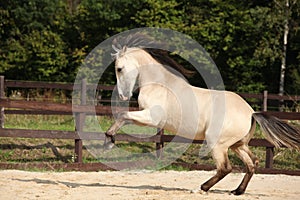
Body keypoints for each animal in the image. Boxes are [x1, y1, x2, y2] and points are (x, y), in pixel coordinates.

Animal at [103, 34, 300, 195]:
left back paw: (201, 189)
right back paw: (237, 191)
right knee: (252, 163)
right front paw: (109, 141)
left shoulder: (151, 118)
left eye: (119, 68)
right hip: (237, 145)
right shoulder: (147, 118)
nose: (122, 95)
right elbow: (123, 118)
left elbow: (123, 116)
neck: (159, 84)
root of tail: (251, 113)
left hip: (217, 143)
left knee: (225, 168)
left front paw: (108, 141)